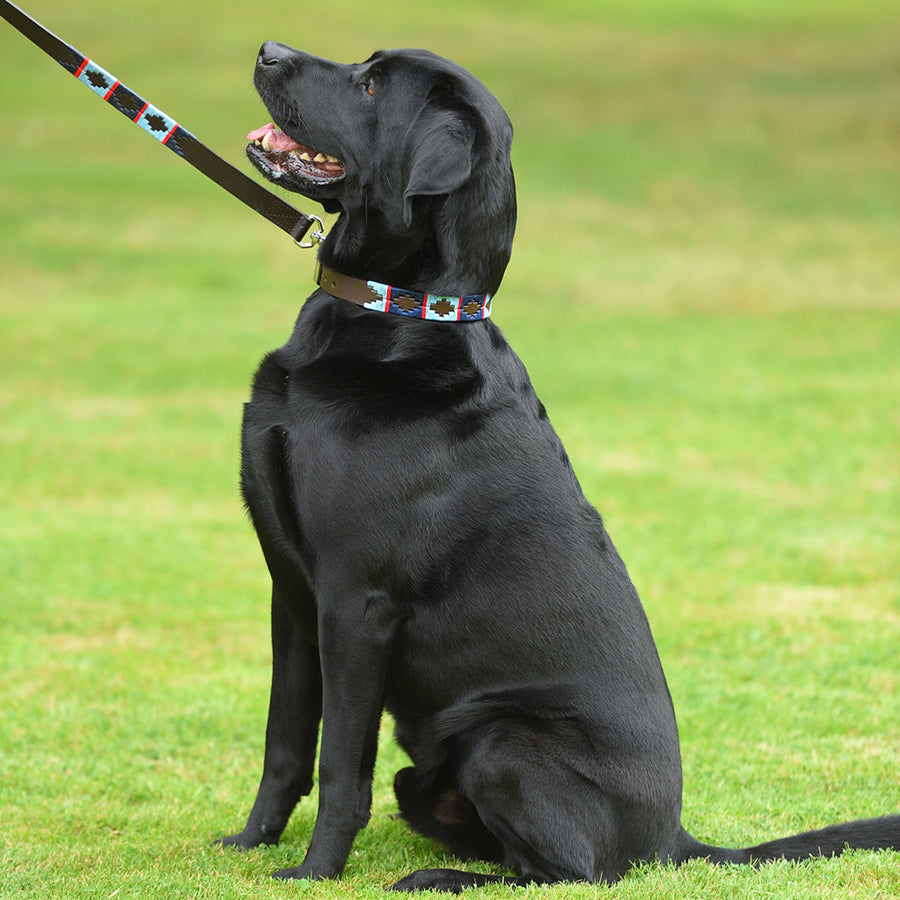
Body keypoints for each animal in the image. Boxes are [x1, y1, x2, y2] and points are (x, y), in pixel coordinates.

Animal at [220, 40, 900, 884]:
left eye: (373, 85)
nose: (268, 50)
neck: (397, 316)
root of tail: (672, 842)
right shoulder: (291, 591)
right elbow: (283, 742)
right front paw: (251, 843)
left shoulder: (354, 602)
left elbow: (339, 762)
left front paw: (313, 873)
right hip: (432, 770)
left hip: (502, 739)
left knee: (563, 871)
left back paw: (436, 878)